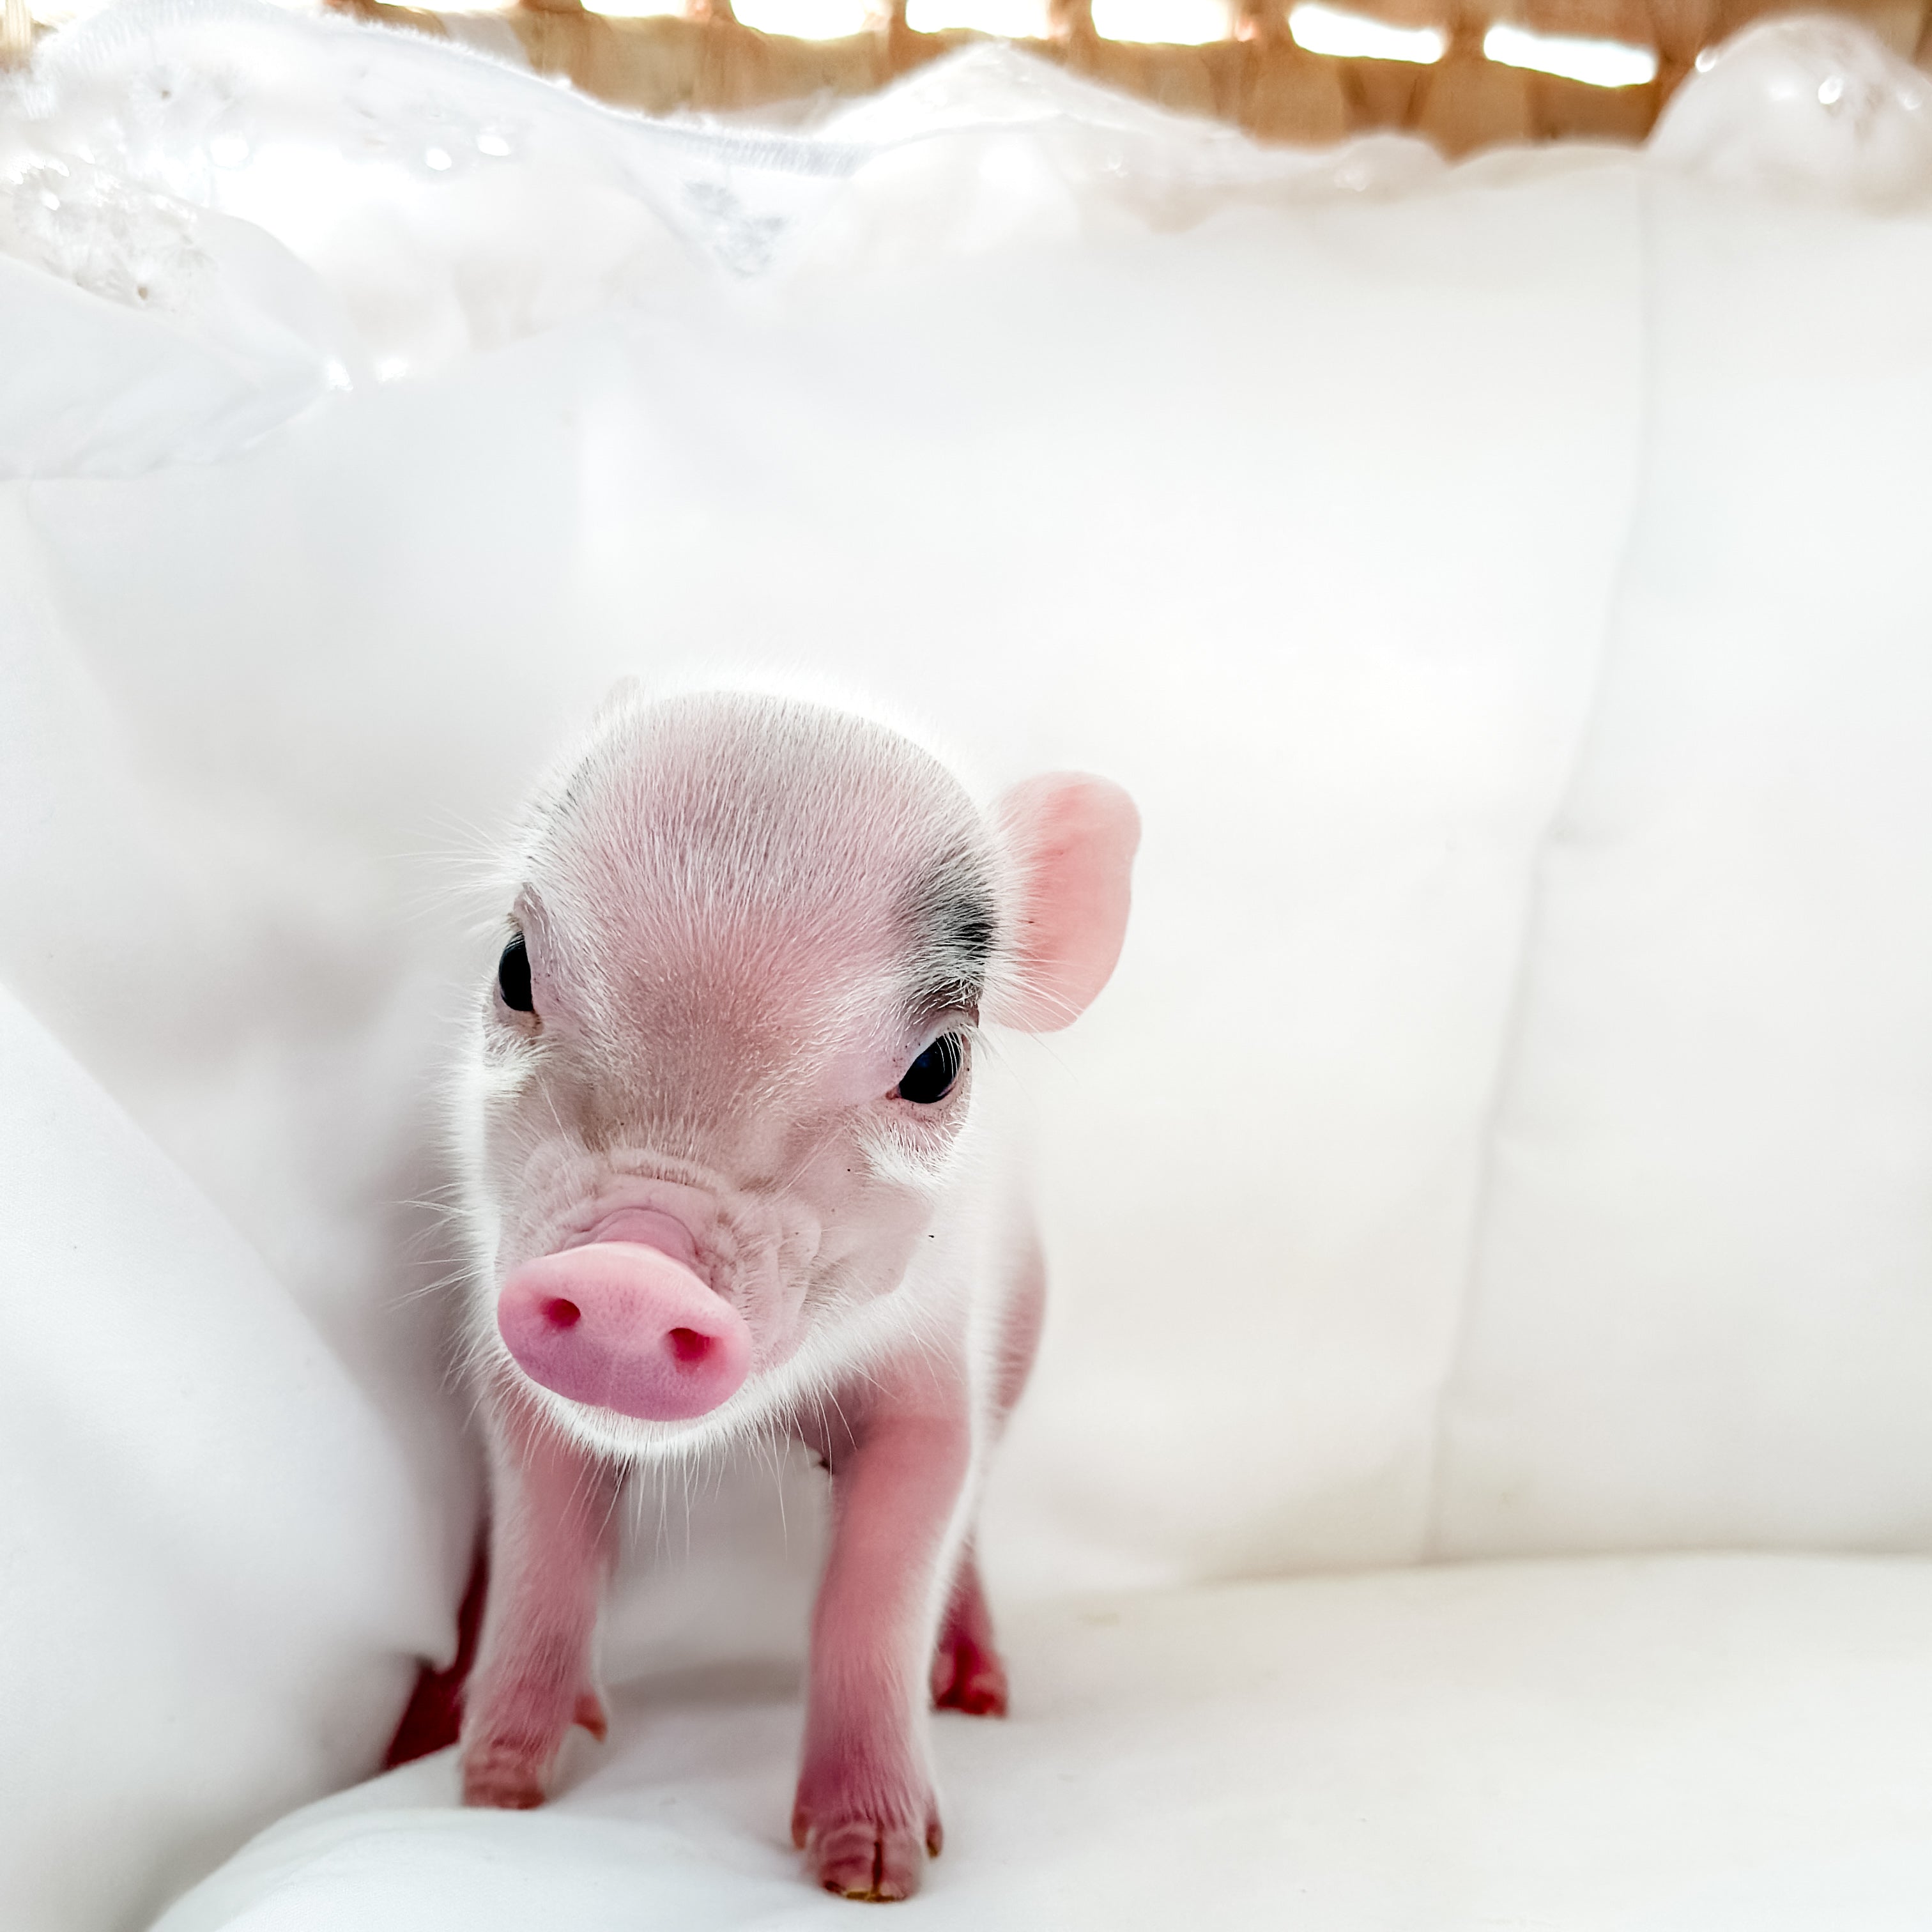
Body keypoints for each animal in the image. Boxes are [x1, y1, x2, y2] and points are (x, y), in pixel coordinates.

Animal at [449, 689, 1138, 1900]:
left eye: (935, 1066)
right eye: (514, 967)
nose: (631, 1271)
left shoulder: (935, 1373)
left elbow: (879, 1580)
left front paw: (872, 1875)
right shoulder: (506, 1352)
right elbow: (544, 1547)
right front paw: (492, 1792)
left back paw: (980, 1691)